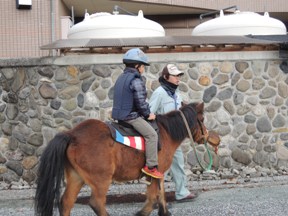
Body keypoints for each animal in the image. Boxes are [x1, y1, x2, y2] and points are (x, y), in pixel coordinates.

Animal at [34, 102, 209, 216]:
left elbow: (160, 193)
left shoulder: (157, 173)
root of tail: (72, 135)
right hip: (101, 179)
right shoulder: (155, 171)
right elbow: (154, 195)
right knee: (96, 203)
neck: (166, 132)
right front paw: (144, 212)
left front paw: (164, 212)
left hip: (76, 177)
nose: (205, 136)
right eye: (202, 119)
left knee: (66, 203)